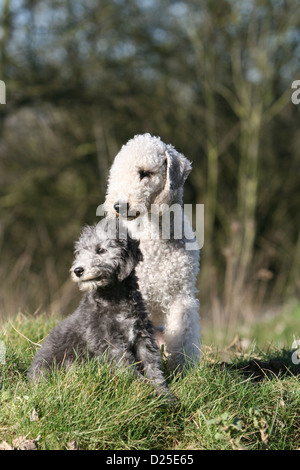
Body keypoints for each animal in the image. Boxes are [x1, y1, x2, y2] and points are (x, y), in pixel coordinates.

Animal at [28, 220, 173, 400]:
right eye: (79, 252)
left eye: (100, 250)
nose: (78, 270)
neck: (113, 299)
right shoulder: (109, 343)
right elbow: (127, 367)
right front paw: (144, 391)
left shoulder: (143, 337)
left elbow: (152, 366)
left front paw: (164, 394)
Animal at [103, 133, 202, 370]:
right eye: (117, 172)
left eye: (145, 173)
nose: (117, 205)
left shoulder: (181, 296)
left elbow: (184, 335)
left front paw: (183, 368)